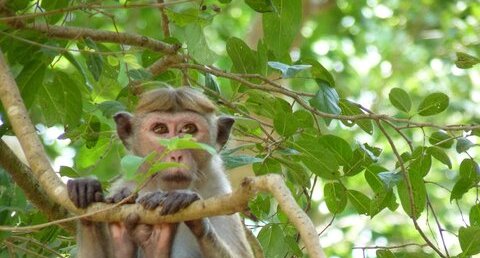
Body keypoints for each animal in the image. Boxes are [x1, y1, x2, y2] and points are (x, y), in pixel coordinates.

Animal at [68, 87, 255, 258]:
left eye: (189, 129)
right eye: (160, 129)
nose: (175, 153)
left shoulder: (220, 192)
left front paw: (186, 201)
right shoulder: (120, 190)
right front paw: (86, 187)